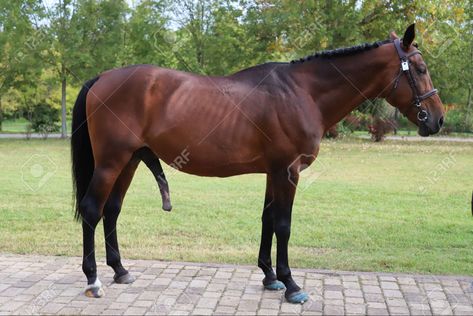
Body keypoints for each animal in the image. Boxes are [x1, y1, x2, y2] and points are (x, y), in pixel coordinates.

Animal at [70, 22, 442, 304]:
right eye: (421, 69)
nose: (437, 119)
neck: (303, 92)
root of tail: (102, 77)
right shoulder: (287, 171)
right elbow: (283, 225)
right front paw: (291, 285)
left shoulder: (273, 172)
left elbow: (267, 220)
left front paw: (270, 277)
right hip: (111, 162)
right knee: (92, 210)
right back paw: (93, 280)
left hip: (129, 161)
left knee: (112, 210)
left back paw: (120, 271)